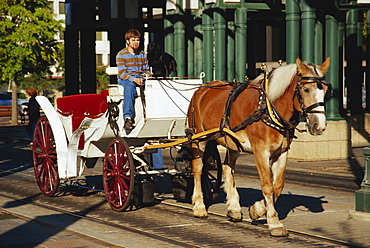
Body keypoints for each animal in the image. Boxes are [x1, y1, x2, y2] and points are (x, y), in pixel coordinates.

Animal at [189, 57, 330, 236]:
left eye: (325, 90)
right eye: (305, 89)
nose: (319, 126)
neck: (267, 109)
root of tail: (202, 89)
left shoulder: (282, 152)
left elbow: (278, 186)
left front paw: (257, 210)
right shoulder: (261, 152)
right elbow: (267, 186)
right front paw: (274, 223)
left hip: (233, 142)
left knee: (227, 167)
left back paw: (234, 208)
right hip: (199, 138)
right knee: (198, 168)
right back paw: (199, 205)